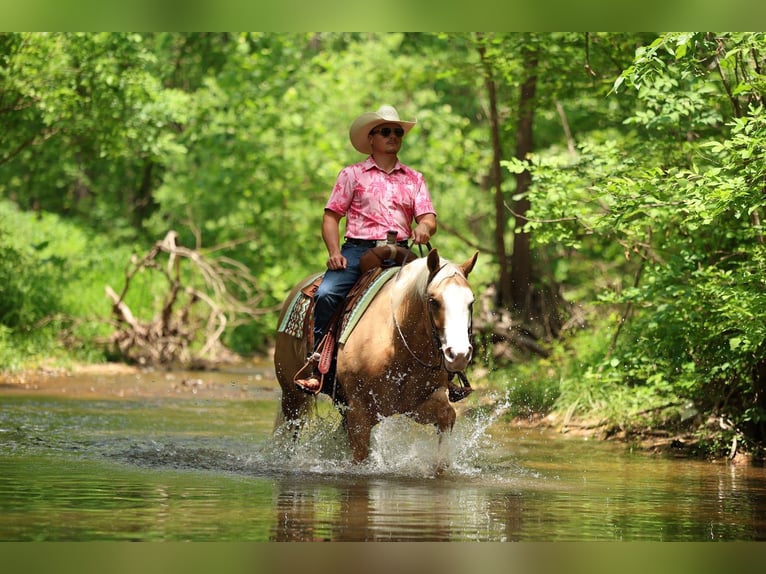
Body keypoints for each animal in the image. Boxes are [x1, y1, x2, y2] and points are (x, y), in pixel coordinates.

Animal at [273, 248, 478, 464]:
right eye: (433, 300)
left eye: (471, 302)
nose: (459, 354)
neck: (396, 342)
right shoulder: (360, 414)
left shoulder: (414, 405)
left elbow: (447, 415)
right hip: (292, 396)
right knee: (290, 431)